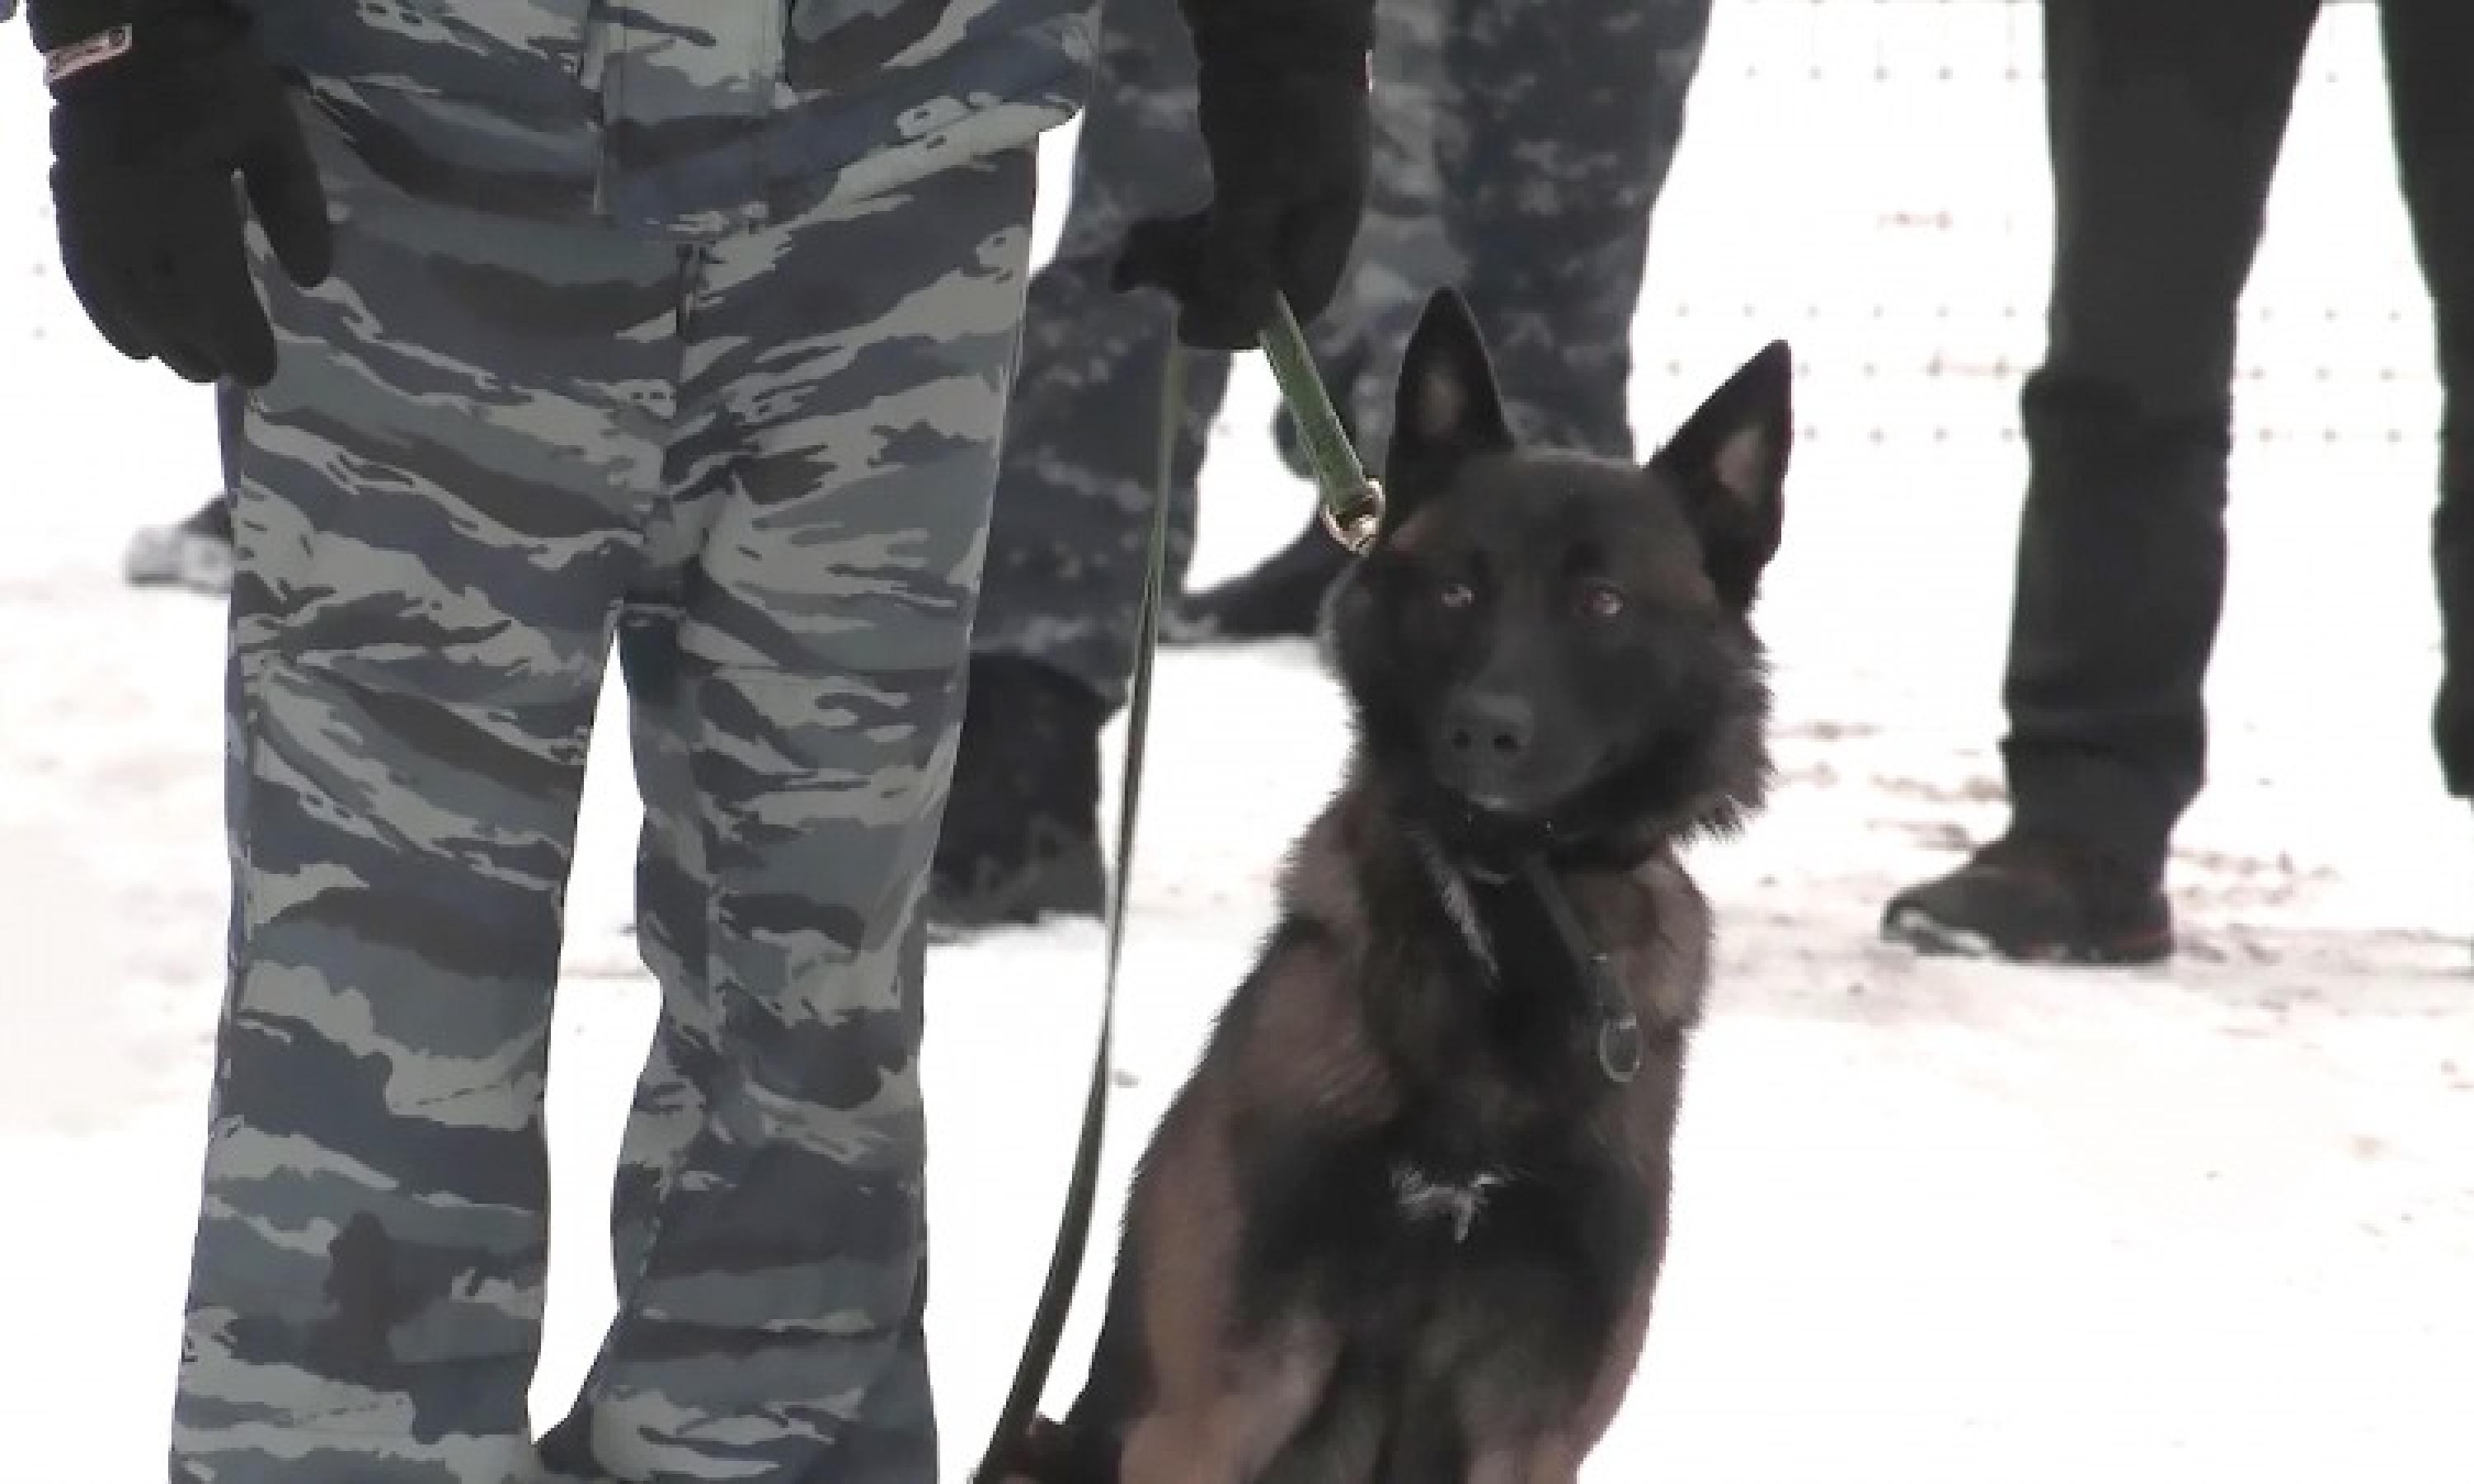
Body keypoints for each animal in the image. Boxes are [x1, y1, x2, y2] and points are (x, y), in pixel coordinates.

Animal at [999, 288, 1792, 1483]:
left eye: (1604, 604)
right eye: (1458, 588)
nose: (1484, 731)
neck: (1504, 926)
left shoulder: (1531, 1430)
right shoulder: (1219, 1404)